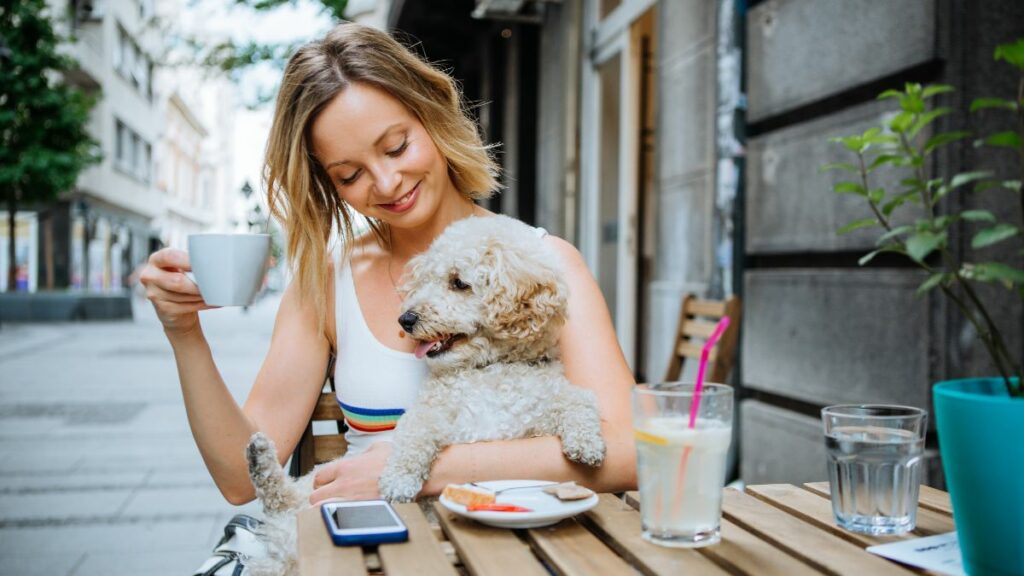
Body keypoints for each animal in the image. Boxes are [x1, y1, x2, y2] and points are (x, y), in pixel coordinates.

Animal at [242, 216, 602, 573]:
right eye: (426, 280)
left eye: (458, 283)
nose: (406, 319)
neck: (488, 369)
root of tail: (283, 542)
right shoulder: (433, 412)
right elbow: (414, 435)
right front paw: (398, 479)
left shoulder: (539, 410)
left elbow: (579, 400)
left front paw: (587, 444)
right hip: (314, 483)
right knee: (282, 496)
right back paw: (260, 458)